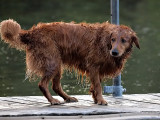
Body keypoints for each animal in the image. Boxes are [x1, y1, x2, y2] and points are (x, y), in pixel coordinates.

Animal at [0, 19, 139, 105]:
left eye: (124, 40)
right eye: (113, 39)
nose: (114, 52)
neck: (105, 44)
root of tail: (32, 32)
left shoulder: (96, 70)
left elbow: (95, 85)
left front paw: (95, 99)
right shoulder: (93, 66)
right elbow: (98, 86)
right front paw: (100, 100)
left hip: (57, 64)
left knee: (56, 86)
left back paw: (68, 98)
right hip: (53, 62)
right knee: (43, 84)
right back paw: (53, 100)